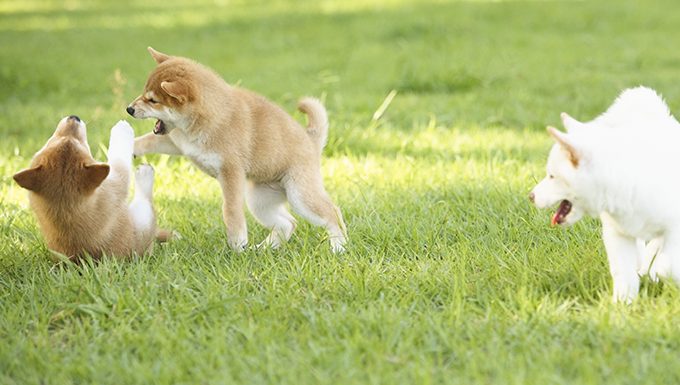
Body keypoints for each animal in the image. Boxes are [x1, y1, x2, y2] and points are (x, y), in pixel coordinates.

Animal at [14, 116, 166, 260]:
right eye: (80, 142)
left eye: (52, 140)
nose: (73, 117)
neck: (65, 211)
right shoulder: (116, 184)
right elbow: (120, 157)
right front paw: (122, 128)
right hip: (144, 220)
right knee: (145, 200)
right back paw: (145, 171)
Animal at [127, 47, 348, 252]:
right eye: (143, 92)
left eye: (153, 100)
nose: (129, 109)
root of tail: (310, 140)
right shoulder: (177, 143)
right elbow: (147, 141)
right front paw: (131, 147)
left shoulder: (230, 171)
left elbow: (230, 210)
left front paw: (237, 243)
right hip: (260, 201)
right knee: (288, 223)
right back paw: (263, 248)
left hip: (299, 195)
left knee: (332, 213)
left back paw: (338, 246)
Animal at [528, 86, 680, 300]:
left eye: (551, 176)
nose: (531, 196)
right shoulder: (618, 234)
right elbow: (623, 272)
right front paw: (622, 303)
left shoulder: (674, 229)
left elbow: (667, 265)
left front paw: (659, 274)